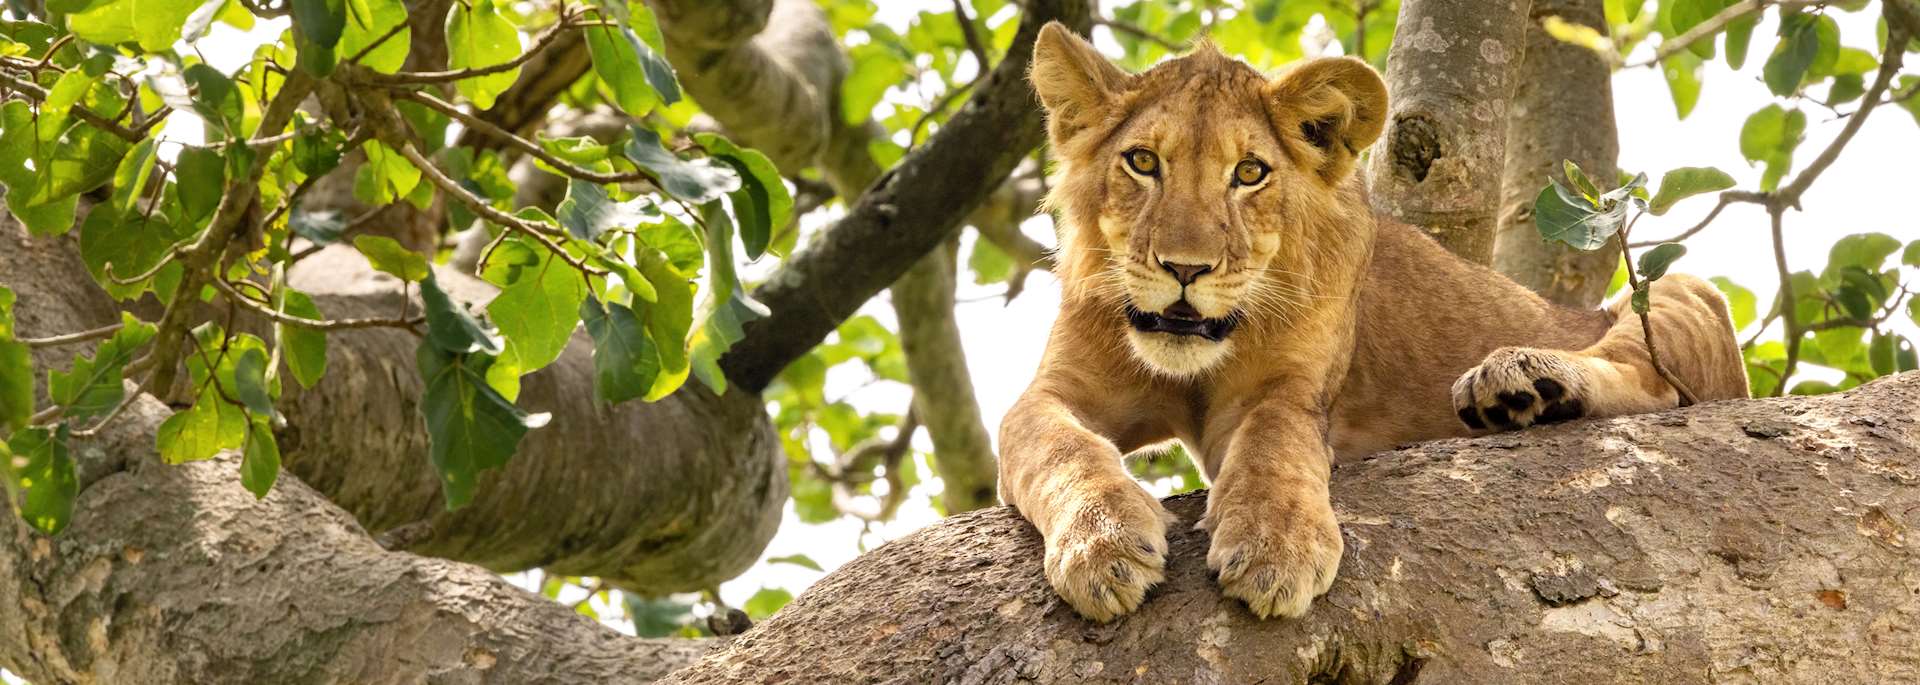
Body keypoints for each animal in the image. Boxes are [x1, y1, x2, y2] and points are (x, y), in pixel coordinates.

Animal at [998, 23, 1750, 623]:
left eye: (1249, 173)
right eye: (1143, 162)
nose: (1186, 268)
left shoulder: (1289, 391)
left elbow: (1274, 445)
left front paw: (1277, 546)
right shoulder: (1055, 392)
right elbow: (1058, 447)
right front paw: (1104, 542)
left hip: (1683, 294)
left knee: (1653, 385)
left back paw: (1520, 380)